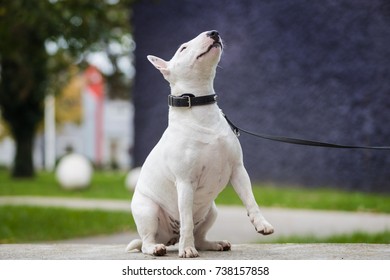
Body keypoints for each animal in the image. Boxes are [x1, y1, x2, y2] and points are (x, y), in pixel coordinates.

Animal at [126, 30, 272, 258]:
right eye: (183, 48)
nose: (214, 33)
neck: (200, 105)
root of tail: (169, 237)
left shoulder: (238, 169)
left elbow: (250, 200)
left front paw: (262, 224)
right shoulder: (185, 181)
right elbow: (186, 219)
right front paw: (186, 249)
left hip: (212, 210)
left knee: (200, 237)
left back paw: (215, 244)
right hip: (147, 210)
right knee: (147, 241)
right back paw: (159, 247)